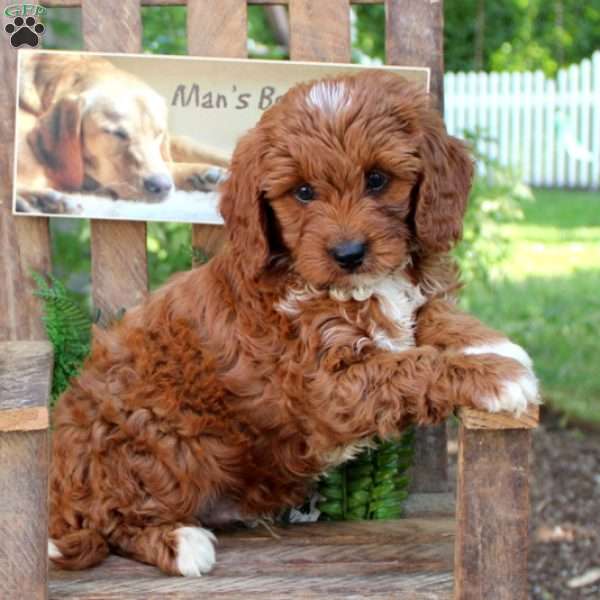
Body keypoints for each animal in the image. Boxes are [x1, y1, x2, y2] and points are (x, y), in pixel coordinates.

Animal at [49, 70, 540, 576]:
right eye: (303, 192)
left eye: (377, 179)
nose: (348, 254)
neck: (358, 287)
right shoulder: (328, 386)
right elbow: (408, 366)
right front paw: (497, 378)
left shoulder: (407, 306)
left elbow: (432, 318)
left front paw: (494, 347)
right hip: (160, 439)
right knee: (112, 523)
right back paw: (180, 543)